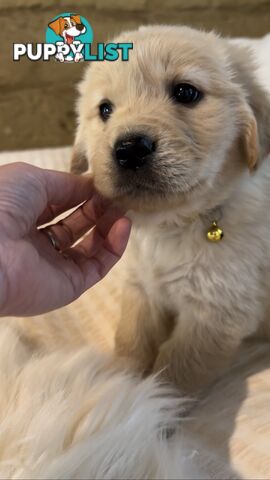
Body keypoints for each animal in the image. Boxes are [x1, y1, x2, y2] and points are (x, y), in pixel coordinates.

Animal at [71, 25, 270, 394]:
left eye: (186, 92)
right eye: (105, 109)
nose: (130, 149)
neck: (172, 224)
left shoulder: (214, 313)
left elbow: (175, 372)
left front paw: (150, 404)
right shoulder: (141, 288)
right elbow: (131, 339)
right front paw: (123, 384)